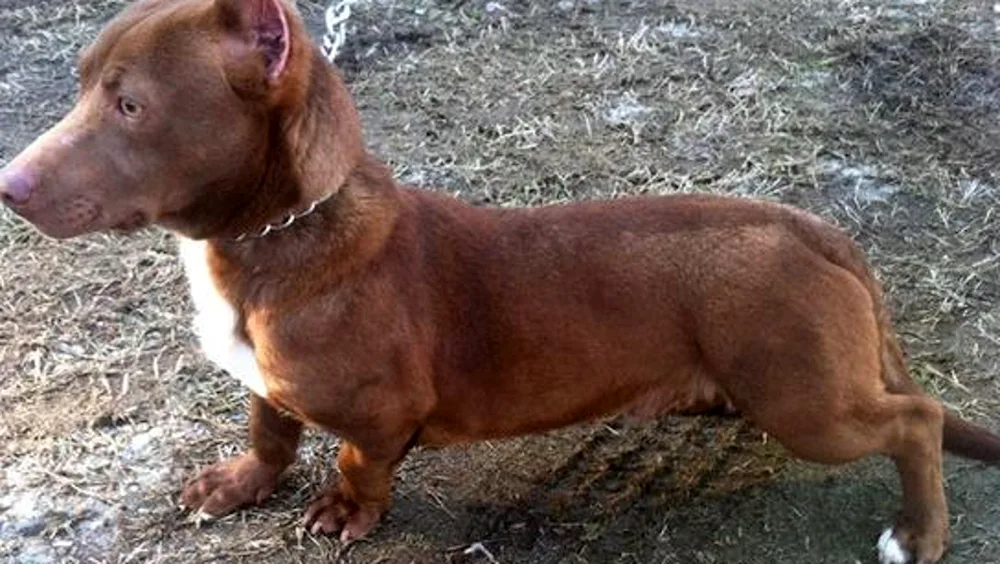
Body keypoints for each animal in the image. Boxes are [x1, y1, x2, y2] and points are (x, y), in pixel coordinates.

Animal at [1, 0, 1000, 560]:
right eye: (81, 85)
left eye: (132, 105)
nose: (8, 185)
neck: (280, 232)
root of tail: (815, 228)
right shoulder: (267, 385)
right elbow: (270, 430)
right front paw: (240, 482)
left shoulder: (382, 413)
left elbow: (357, 463)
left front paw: (344, 513)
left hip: (807, 403)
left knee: (915, 423)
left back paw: (920, 533)